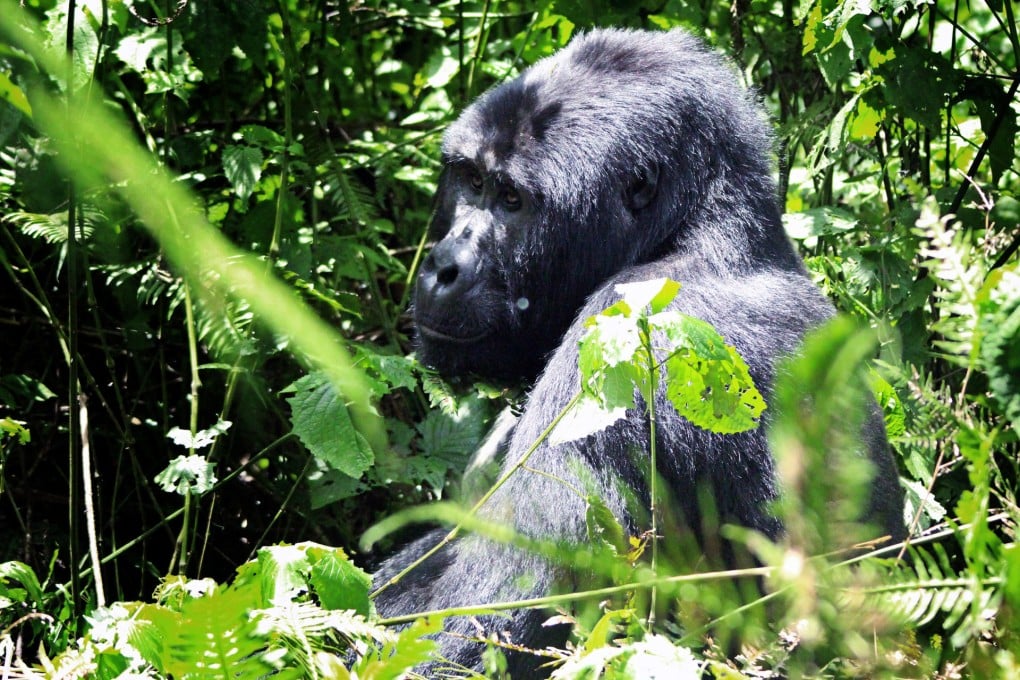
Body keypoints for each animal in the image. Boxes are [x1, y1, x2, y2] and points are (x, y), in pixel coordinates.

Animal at [371, 25, 905, 676]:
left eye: (513, 200)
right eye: (472, 182)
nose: (442, 266)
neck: (694, 234)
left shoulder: (613, 340)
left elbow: (486, 629)